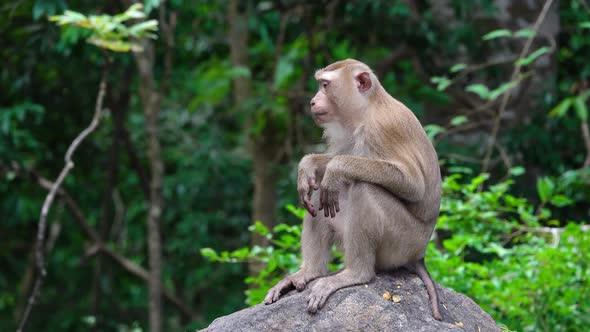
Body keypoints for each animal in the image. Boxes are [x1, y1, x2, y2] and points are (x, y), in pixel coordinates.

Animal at [264, 58, 444, 320]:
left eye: (325, 85)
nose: (312, 101)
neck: (366, 110)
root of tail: (419, 255)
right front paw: (308, 165)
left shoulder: (382, 129)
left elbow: (413, 185)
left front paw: (337, 168)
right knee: (320, 196)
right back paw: (310, 271)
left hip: (402, 243)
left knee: (363, 187)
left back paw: (356, 273)